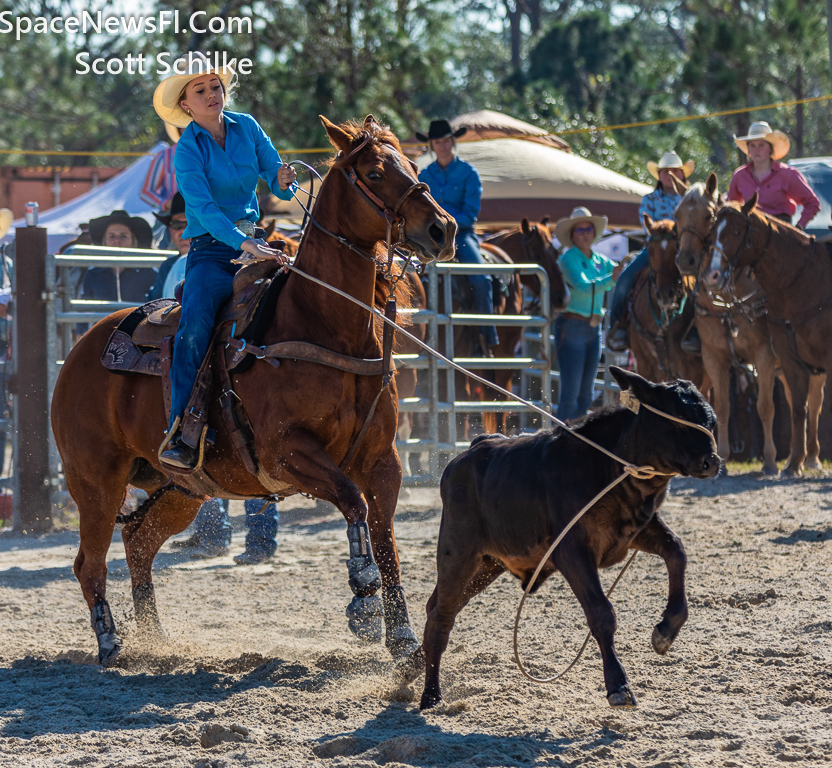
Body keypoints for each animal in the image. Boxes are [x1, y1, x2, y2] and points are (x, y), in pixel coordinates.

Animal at [50, 114, 456, 664]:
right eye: (374, 172)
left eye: (413, 165)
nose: (443, 229)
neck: (319, 322)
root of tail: (80, 351)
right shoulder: (287, 454)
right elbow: (353, 503)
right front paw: (364, 599)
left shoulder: (383, 460)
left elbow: (386, 537)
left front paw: (403, 639)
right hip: (95, 482)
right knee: (88, 563)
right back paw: (112, 643)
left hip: (181, 488)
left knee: (137, 542)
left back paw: (156, 639)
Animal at [676, 178, 824, 474]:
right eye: (677, 215)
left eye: (707, 216)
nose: (687, 260)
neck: (728, 303)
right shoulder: (714, 357)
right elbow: (721, 407)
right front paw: (721, 459)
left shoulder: (764, 356)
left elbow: (766, 407)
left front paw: (769, 461)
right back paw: (794, 457)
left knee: (814, 402)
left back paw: (811, 457)